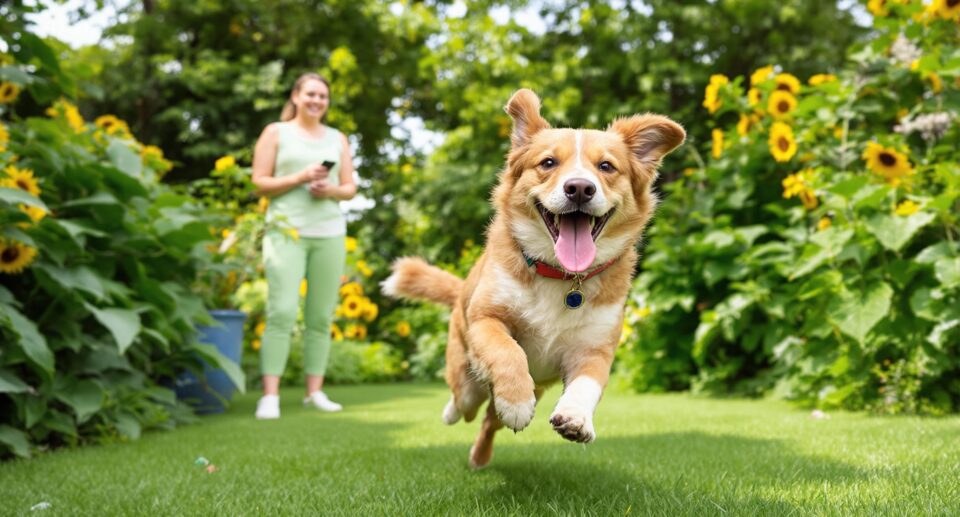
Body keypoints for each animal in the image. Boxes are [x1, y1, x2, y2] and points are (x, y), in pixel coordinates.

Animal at [378, 88, 688, 468]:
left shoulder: (595, 349)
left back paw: (480, 456)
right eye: (548, 163)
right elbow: (508, 351)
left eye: (606, 167)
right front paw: (516, 401)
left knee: (487, 421)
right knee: (465, 401)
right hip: (465, 371)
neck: (562, 277)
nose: (580, 188)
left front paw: (576, 417)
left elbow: (587, 385)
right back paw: (455, 412)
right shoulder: (486, 319)